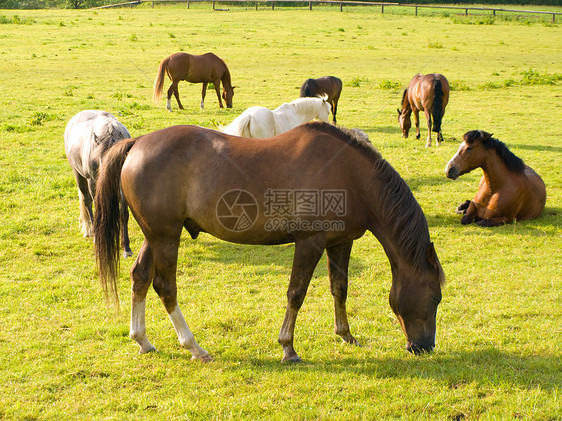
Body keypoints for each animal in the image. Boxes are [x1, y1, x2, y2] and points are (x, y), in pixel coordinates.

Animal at [63, 110, 133, 256]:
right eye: (100, 158)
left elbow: (124, 213)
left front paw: (126, 247)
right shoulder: (93, 183)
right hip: (79, 176)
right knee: (87, 201)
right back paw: (92, 233)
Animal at [93, 120, 442, 360]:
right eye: (436, 298)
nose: (424, 347)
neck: (351, 175)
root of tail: (138, 142)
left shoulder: (340, 242)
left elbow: (339, 288)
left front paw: (345, 335)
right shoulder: (310, 242)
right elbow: (296, 294)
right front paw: (288, 347)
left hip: (156, 235)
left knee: (140, 277)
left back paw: (142, 339)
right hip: (166, 236)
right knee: (165, 287)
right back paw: (194, 347)